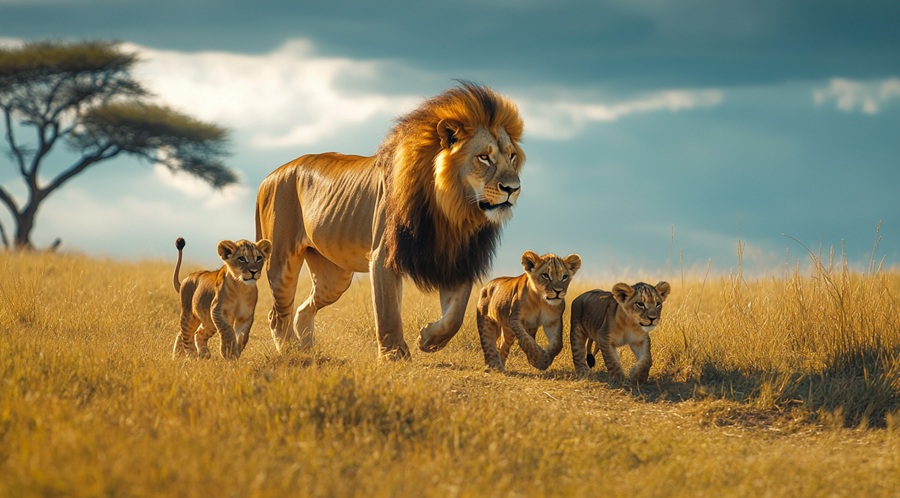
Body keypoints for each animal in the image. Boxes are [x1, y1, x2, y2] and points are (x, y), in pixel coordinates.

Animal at [255, 82, 525, 359]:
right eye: (484, 157)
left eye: (512, 156)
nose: (513, 188)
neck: (451, 210)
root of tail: (270, 175)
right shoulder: (383, 255)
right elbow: (388, 312)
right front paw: (394, 355)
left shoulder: (456, 257)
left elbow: (455, 316)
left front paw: (429, 339)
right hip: (281, 260)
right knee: (277, 315)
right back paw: (290, 351)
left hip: (334, 278)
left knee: (302, 309)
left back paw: (307, 348)